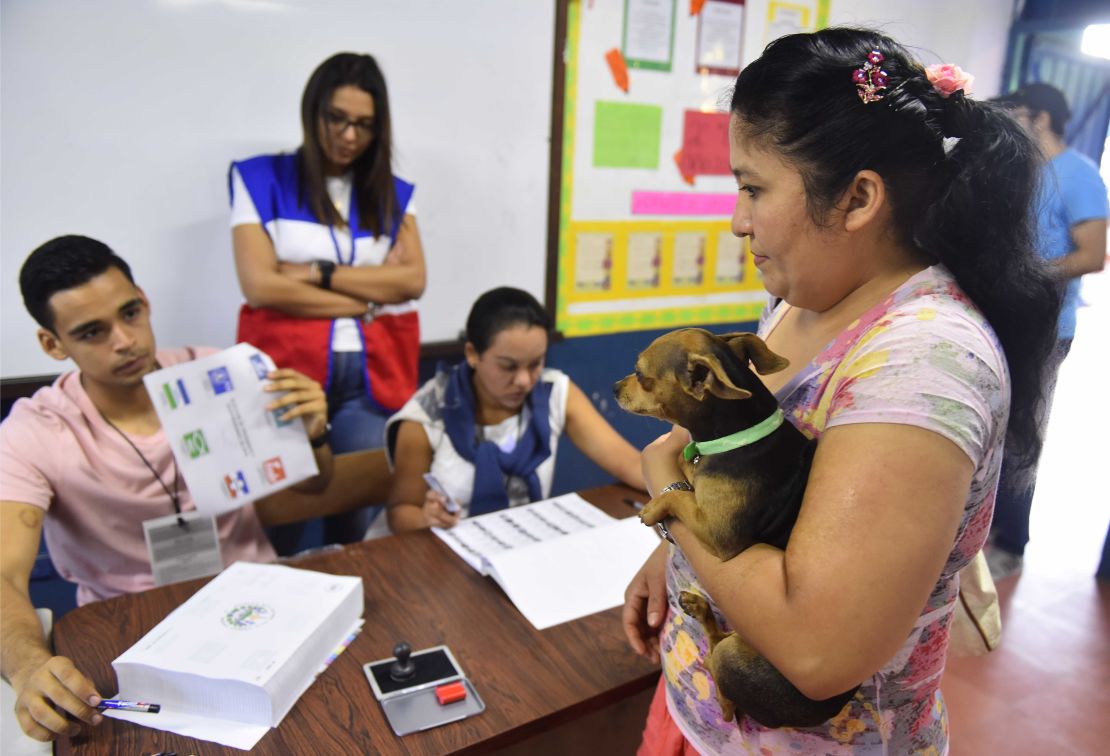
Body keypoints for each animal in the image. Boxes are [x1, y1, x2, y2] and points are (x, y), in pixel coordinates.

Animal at [617, 328, 856, 723]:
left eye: (640, 374)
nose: (614, 386)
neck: (738, 436)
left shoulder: (716, 532)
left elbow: (679, 497)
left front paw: (653, 506)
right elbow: (686, 478)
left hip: (732, 658)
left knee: (721, 677)